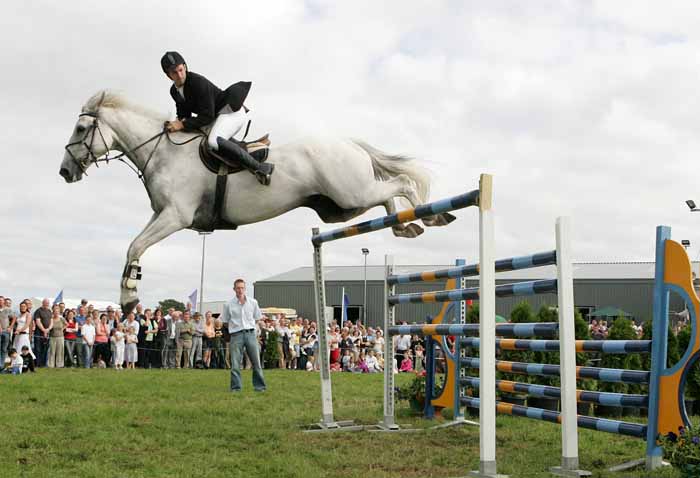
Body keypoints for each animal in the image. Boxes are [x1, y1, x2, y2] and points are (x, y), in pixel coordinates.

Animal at [58, 91, 454, 312]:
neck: (163, 152)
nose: (64, 171)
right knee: (388, 197)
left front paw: (128, 300)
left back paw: (431, 218)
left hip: (350, 192)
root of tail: (348, 143)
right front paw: (128, 299)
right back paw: (407, 226)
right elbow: (132, 247)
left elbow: (135, 246)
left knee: (400, 182)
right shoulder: (161, 215)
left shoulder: (175, 216)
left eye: (81, 129)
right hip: (341, 209)